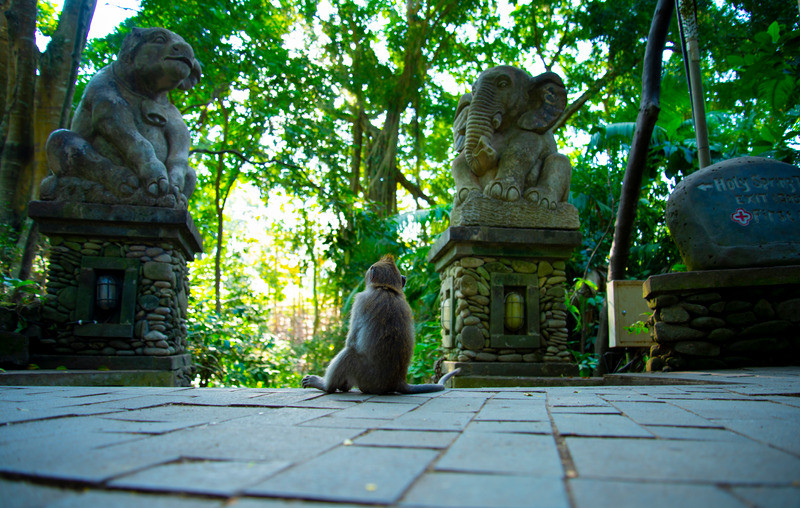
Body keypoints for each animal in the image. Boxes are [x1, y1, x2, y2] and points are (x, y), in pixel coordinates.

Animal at [300, 256, 460, 394]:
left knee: (350, 353)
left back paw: (326, 386)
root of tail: (398, 381)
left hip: (367, 379)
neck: (386, 288)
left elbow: (351, 341)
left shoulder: (360, 301)